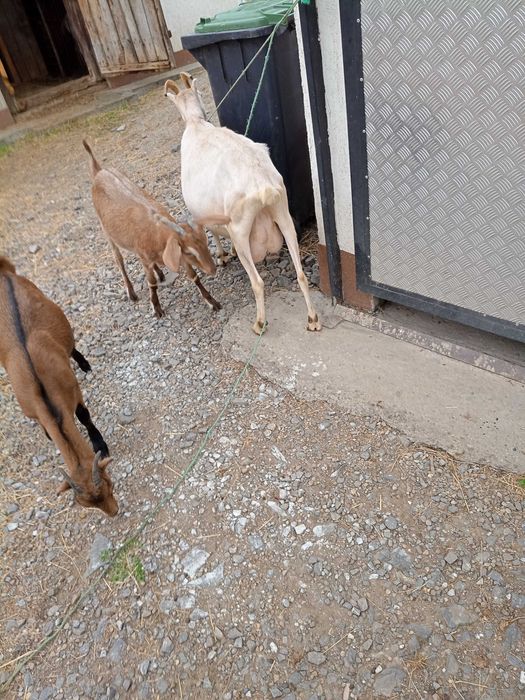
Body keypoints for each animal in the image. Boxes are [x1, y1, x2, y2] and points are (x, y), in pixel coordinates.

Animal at [0, 256, 118, 516]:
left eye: (109, 484)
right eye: (85, 504)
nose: (114, 512)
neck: (45, 397)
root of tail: (4, 272)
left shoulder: (73, 390)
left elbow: (84, 416)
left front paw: (100, 444)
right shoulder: (33, 410)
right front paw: (47, 435)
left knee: (70, 345)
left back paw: (84, 364)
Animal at [83, 140, 221, 318]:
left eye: (205, 242)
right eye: (190, 252)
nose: (213, 270)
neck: (157, 232)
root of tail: (99, 171)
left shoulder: (175, 254)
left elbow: (193, 276)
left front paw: (212, 302)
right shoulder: (155, 256)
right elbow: (151, 282)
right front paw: (157, 308)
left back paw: (160, 273)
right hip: (107, 233)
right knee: (119, 260)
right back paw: (132, 293)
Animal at [164, 73, 321, 335]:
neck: (195, 123)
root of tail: (261, 184)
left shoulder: (200, 214)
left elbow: (210, 233)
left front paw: (222, 256)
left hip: (239, 228)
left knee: (257, 281)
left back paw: (259, 323)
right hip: (283, 212)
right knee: (300, 274)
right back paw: (313, 319)